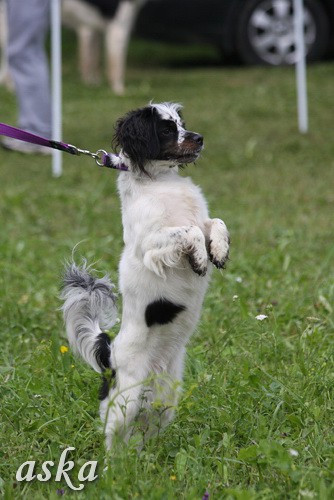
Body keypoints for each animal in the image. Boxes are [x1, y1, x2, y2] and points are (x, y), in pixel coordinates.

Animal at [60, 102, 230, 450]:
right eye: (166, 129)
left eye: (181, 122)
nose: (199, 138)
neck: (160, 181)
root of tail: (110, 355)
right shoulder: (151, 246)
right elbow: (189, 231)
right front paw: (200, 259)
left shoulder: (203, 220)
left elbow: (214, 223)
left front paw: (218, 250)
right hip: (126, 399)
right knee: (113, 435)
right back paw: (115, 463)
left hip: (165, 398)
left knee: (142, 433)